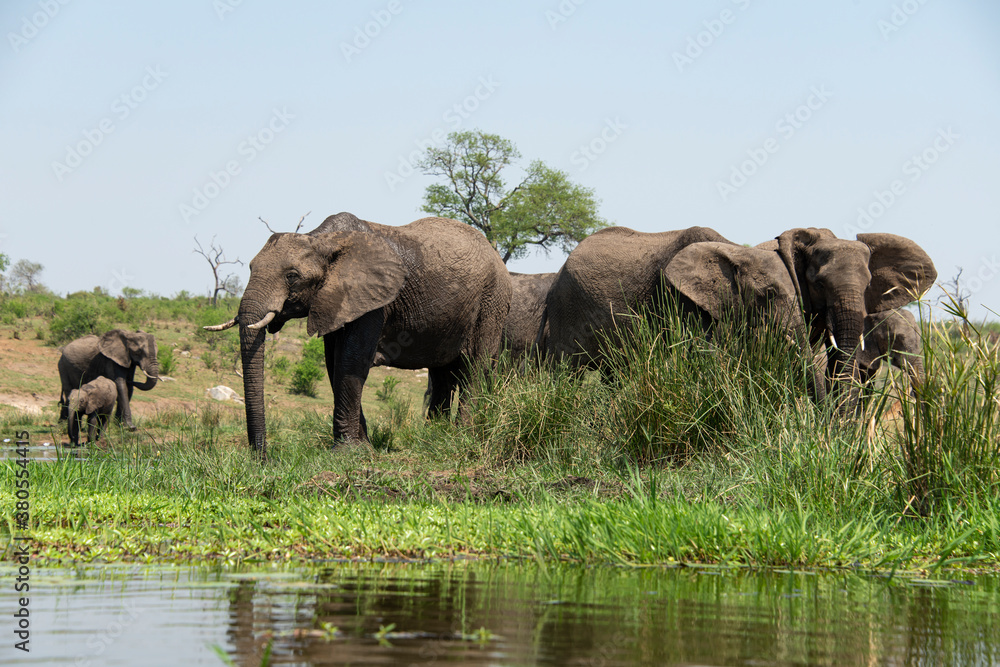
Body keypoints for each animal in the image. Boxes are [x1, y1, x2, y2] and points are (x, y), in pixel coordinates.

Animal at [204, 213, 512, 454]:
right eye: (250, 268)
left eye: (292, 276)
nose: (263, 459)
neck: (321, 239)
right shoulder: (333, 300)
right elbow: (333, 364)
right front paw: (362, 447)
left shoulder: (374, 300)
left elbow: (350, 362)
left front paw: (348, 452)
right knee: (442, 375)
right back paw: (435, 436)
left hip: (491, 302)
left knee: (475, 366)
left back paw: (462, 437)